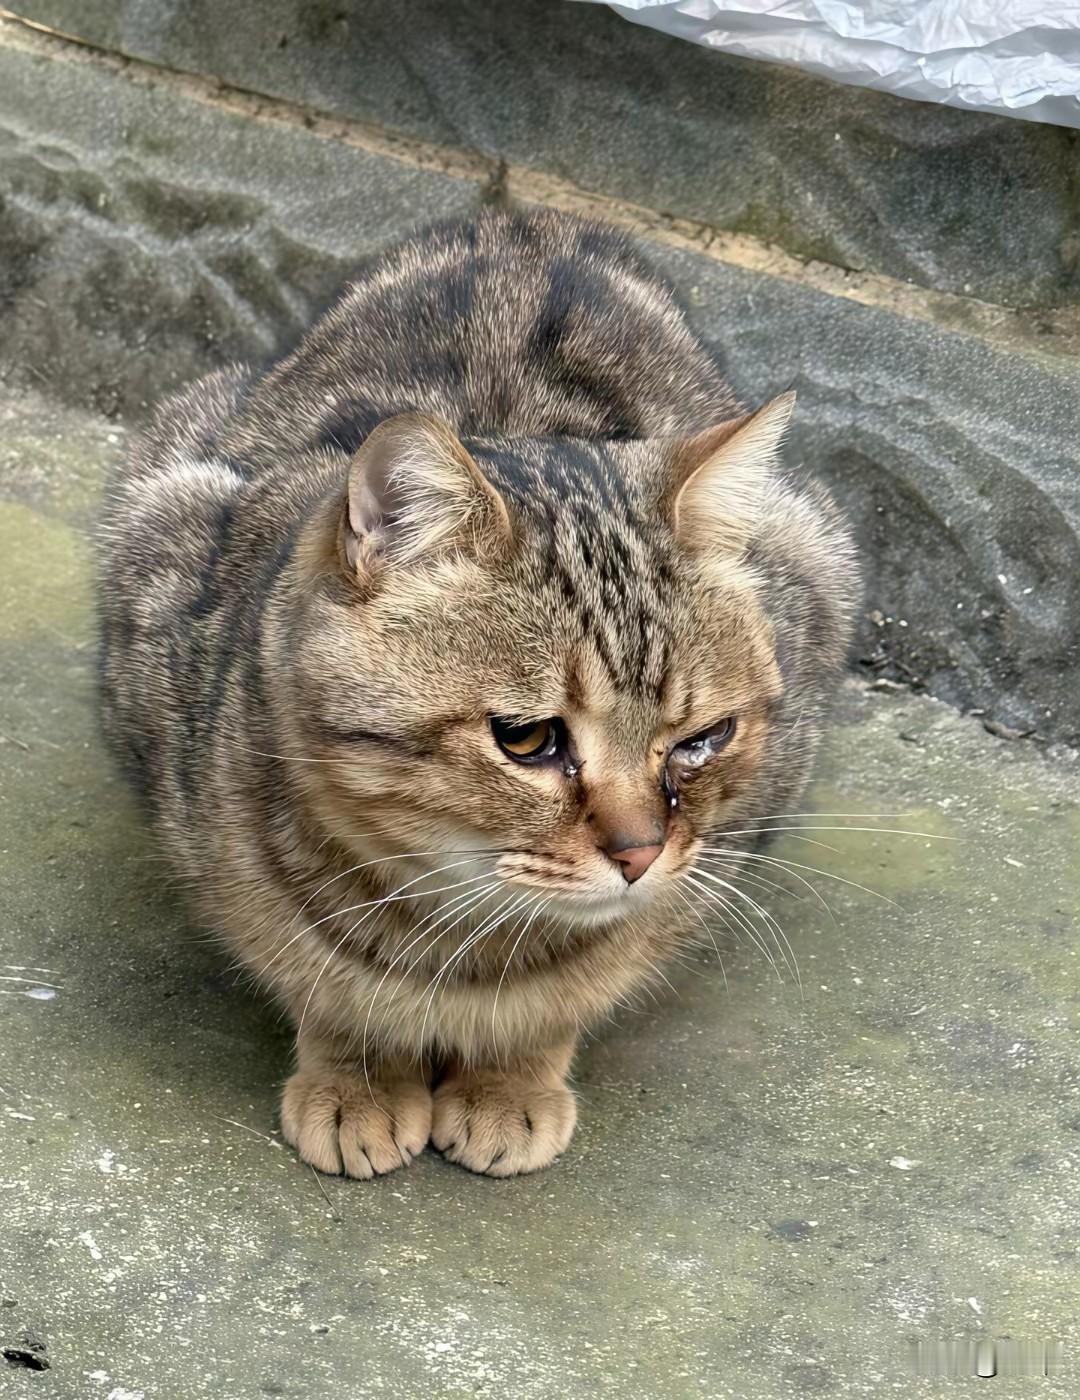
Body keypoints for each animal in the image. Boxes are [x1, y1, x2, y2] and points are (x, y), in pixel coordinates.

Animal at [98, 207, 858, 1178]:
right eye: (527, 739)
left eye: (702, 739)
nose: (642, 854)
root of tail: (530, 219)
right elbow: (327, 984)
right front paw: (358, 1077)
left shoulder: (709, 862)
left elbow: (569, 995)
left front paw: (510, 1082)